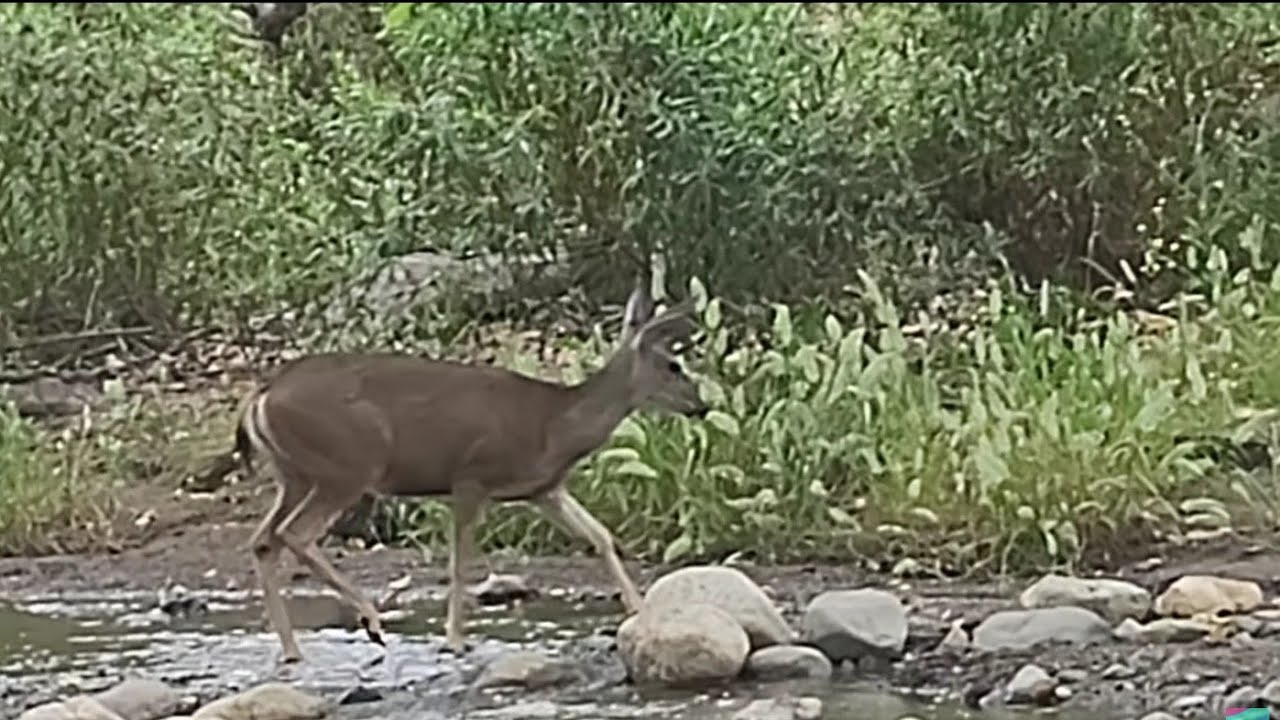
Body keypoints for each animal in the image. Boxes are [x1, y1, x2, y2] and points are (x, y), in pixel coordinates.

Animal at [233, 283, 709, 663]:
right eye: (674, 366)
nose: (702, 406)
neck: (553, 425)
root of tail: (262, 395)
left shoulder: (544, 489)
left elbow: (600, 536)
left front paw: (642, 613)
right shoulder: (470, 477)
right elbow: (460, 563)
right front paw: (455, 641)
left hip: (295, 474)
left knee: (263, 541)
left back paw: (293, 651)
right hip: (347, 465)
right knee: (294, 534)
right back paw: (371, 620)